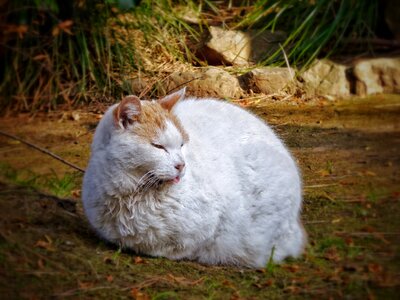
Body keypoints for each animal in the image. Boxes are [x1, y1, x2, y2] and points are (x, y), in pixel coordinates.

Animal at [82, 87, 306, 268]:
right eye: (158, 147)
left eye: (181, 144)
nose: (181, 165)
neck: (132, 196)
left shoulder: (208, 229)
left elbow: (177, 246)